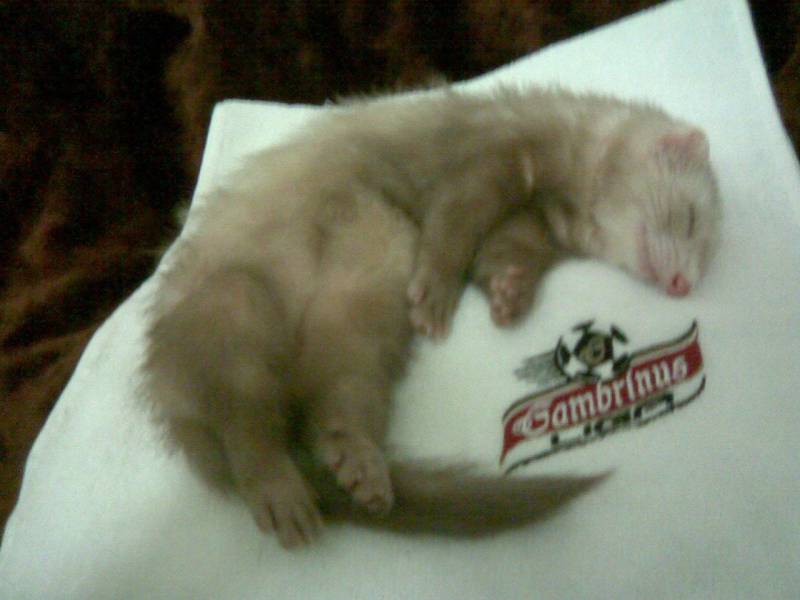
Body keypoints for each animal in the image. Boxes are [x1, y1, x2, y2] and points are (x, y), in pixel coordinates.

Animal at [143, 84, 720, 549]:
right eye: (693, 220)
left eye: (707, 247)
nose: (684, 283)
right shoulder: (490, 157)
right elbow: (454, 223)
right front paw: (435, 296)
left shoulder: (523, 222)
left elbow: (503, 254)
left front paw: (509, 297)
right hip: (235, 300)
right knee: (244, 423)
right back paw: (281, 496)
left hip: (362, 295)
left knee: (331, 400)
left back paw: (358, 467)